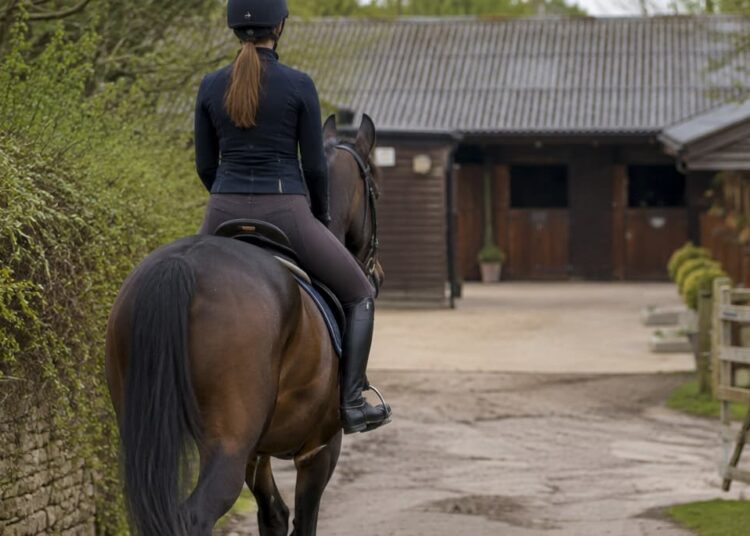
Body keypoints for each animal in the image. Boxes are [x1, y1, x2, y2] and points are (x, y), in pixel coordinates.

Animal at [105, 114, 383, 536]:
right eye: (376, 193)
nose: (377, 275)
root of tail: (183, 265)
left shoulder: (258, 451)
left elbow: (273, 515)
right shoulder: (320, 449)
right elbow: (303, 521)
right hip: (228, 443)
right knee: (194, 514)